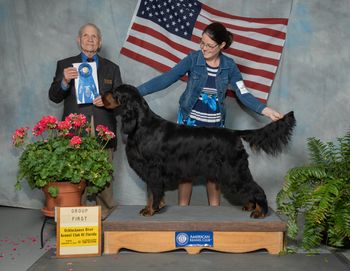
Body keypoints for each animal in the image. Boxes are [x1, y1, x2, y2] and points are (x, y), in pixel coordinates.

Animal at [104, 84, 296, 219]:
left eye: (115, 92)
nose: (102, 94)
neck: (142, 124)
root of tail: (234, 133)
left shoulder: (152, 169)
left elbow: (154, 191)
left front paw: (151, 210)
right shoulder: (150, 170)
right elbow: (152, 192)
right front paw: (152, 207)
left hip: (233, 171)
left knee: (256, 188)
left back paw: (260, 211)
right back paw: (251, 206)